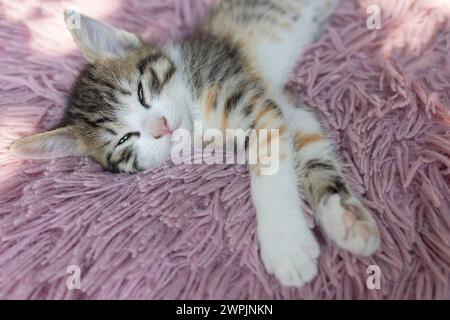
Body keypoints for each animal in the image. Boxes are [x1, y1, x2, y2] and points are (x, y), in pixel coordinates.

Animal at [9, 0, 380, 284]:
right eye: (125, 139)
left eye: (141, 91)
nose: (160, 127)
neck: (193, 101)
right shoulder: (281, 103)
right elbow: (309, 141)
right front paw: (345, 219)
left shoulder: (248, 96)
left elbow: (269, 167)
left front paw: (285, 244)